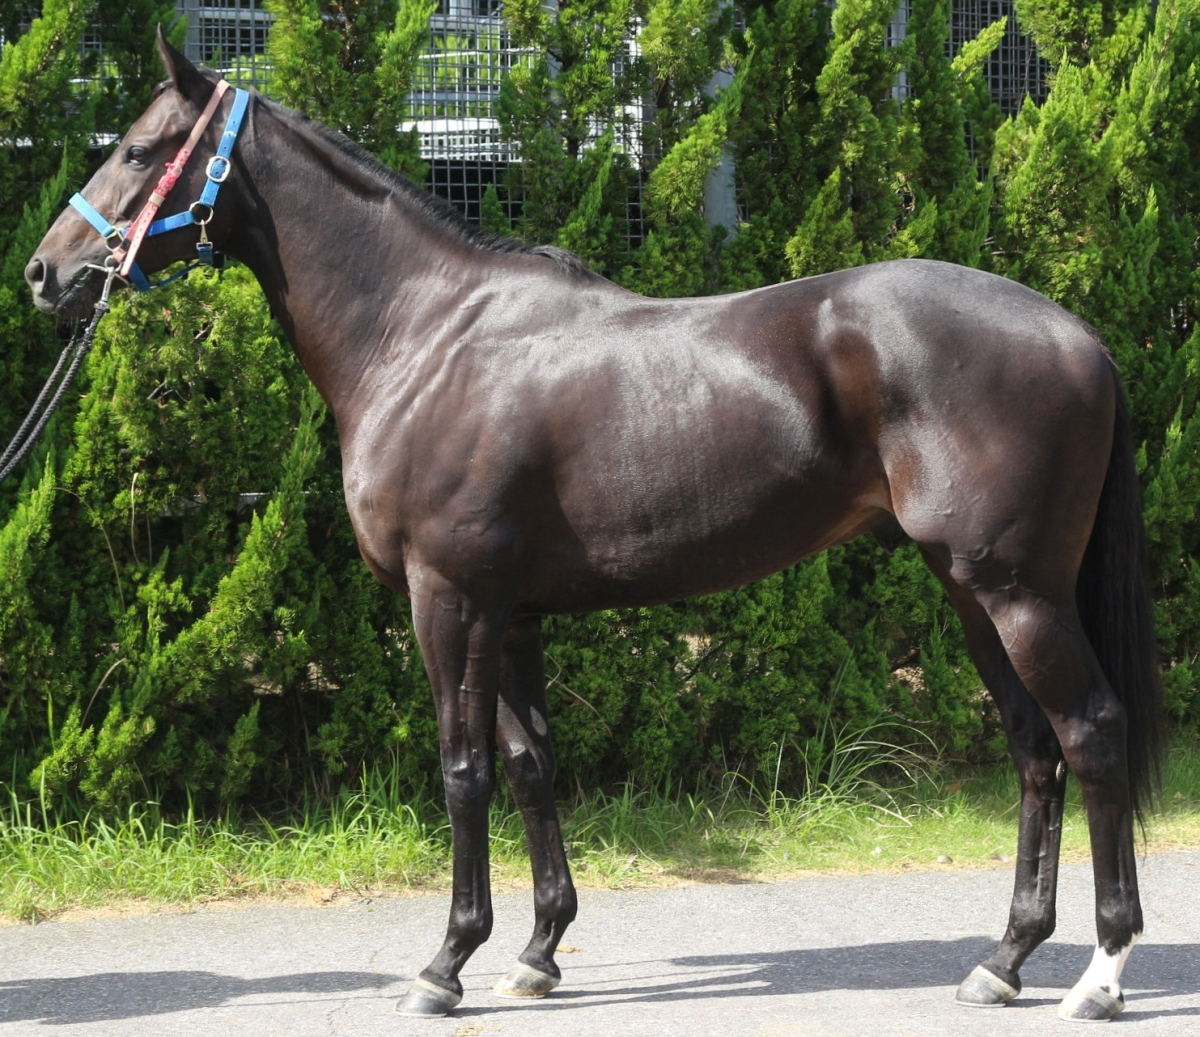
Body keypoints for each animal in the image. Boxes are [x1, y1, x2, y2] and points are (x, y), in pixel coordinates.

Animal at [25, 30, 1162, 1023]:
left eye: (138, 150)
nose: (46, 271)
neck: (427, 334)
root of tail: (1078, 333)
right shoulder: (512, 612)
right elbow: (531, 766)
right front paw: (536, 952)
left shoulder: (449, 599)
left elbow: (464, 771)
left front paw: (444, 964)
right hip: (972, 588)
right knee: (1035, 749)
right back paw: (1003, 960)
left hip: (1017, 590)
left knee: (1093, 732)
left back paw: (1101, 971)